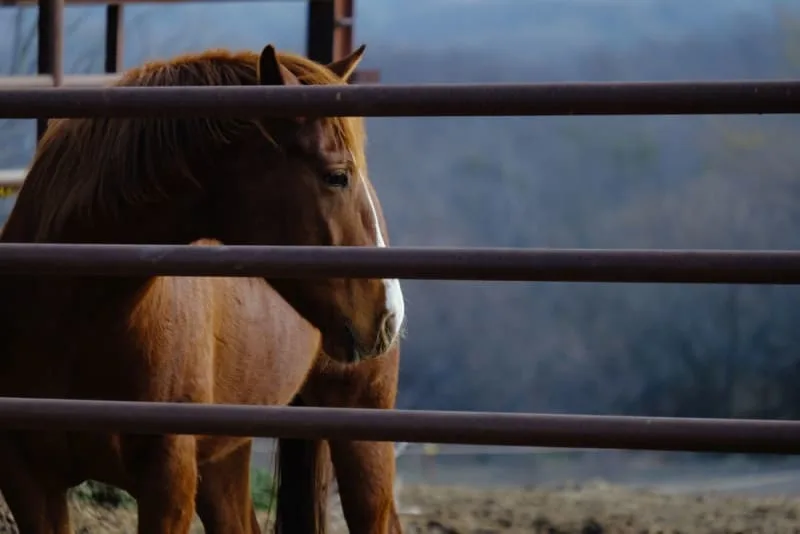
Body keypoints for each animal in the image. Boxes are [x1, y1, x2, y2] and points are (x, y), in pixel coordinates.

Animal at [0, 42, 405, 534]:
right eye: (337, 176)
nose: (389, 313)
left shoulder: (169, 484)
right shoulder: (29, 484)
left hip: (361, 428)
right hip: (223, 459)